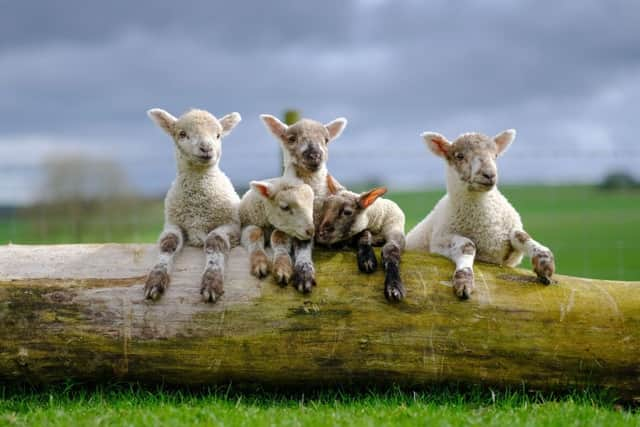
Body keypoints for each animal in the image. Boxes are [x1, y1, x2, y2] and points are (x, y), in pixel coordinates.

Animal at [144, 108, 241, 306]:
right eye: (182, 134)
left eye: (218, 135)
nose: (206, 148)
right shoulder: (173, 223)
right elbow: (168, 243)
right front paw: (156, 279)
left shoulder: (233, 224)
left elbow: (215, 241)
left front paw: (211, 282)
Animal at [260, 113, 348, 294]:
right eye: (291, 139)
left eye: (326, 140)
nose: (314, 155)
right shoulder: (301, 226)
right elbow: (302, 244)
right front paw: (304, 275)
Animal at [410, 129, 556, 300]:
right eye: (460, 156)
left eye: (496, 155)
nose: (489, 174)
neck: (485, 225)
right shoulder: (439, 241)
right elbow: (468, 245)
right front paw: (464, 280)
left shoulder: (509, 252)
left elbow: (521, 235)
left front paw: (545, 263)